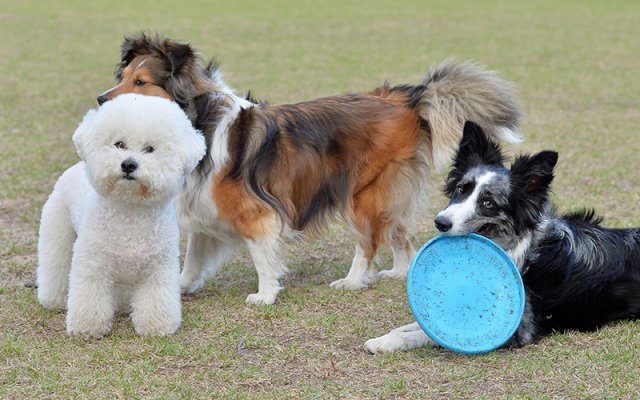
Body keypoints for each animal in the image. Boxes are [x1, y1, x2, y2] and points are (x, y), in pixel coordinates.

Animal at [37, 94, 205, 338]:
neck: (130, 209)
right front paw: (88, 328)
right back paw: (54, 300)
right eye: (119, 144)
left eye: (150, 149)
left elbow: (156, 299)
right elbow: (89, 296)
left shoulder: (158, 268)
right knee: (55, 265)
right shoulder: (92, 264)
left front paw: (157, 327)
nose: (128, 164)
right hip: (58, 231)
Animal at [97, 32, 524, 304]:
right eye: (123, 77)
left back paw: (353, 281)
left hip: (361, 194)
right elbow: (191, 260)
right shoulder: (204, 207)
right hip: (387, 194)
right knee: (400, 233)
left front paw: (265, 295)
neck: (200, 120)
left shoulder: (256, 213)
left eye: (141, 82)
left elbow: (262, 256)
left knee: (369, 242)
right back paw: (398, 273)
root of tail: (407, 98)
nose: (101, 99)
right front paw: (180, 288)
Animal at [364, 120, 640, 352]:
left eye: (488, 203)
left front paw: (384, 342)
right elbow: (414, 325)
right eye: (460, 190)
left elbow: (426, 334)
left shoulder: (520, 328)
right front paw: (388, 335)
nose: (440, 223)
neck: (523, 247)